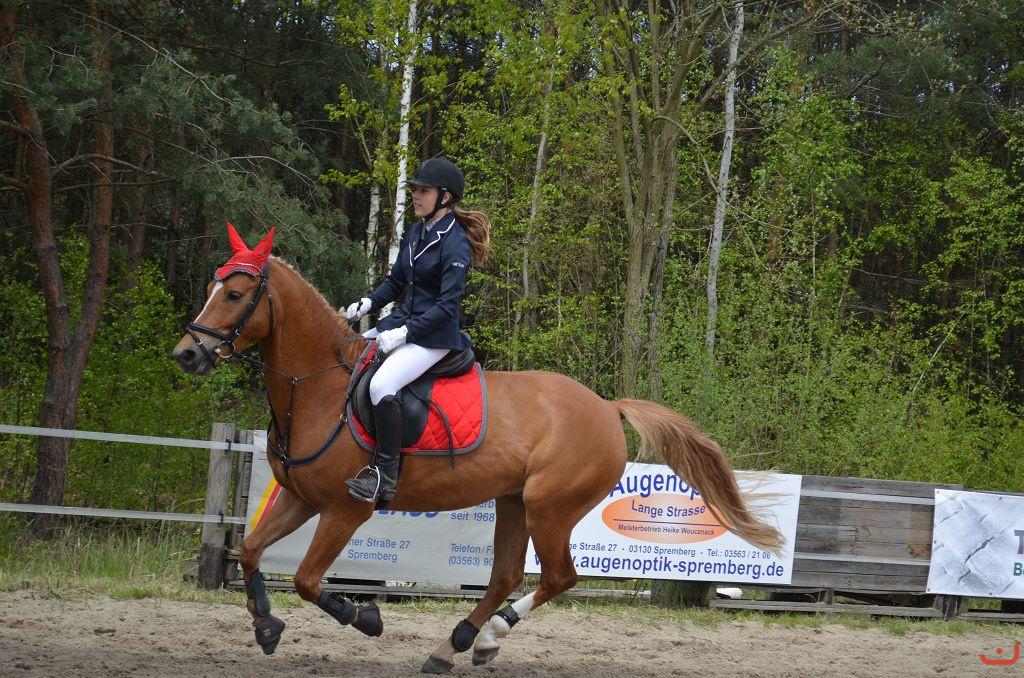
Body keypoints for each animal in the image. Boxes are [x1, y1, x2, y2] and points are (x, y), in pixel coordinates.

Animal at [172, 229, 783, 674]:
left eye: (234, 295)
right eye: (213, 288)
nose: (187, 354)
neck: (319, 387)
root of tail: (607, 407)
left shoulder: (346, 509)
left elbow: (305, 579)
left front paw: (364, 617)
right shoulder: (301, 497)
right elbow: (252, 552)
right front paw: (266, 626)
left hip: (549, 507)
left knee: (558, 577)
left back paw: (483, 637)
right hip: (514, 502)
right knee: (506, 576)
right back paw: (457, 643)